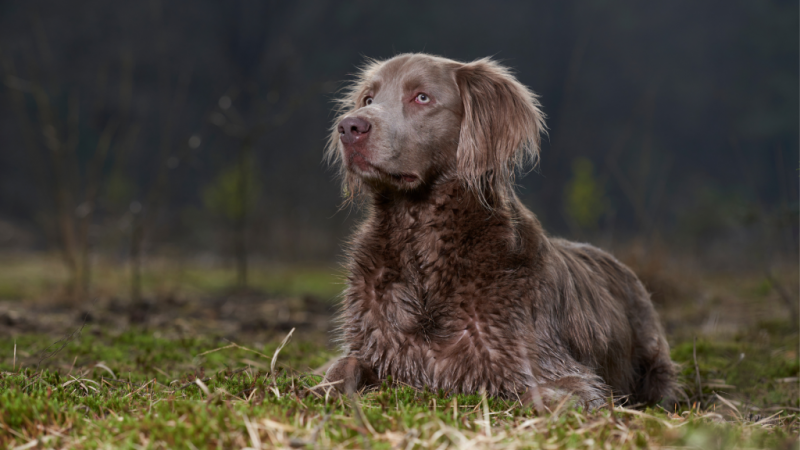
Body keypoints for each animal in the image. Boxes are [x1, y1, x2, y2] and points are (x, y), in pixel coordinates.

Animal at [318, 53, 676, 412]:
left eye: (421, 97)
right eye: (368, 99)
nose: (349, 127)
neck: (423, 247)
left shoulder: (563, 373)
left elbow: (538, 395)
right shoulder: (376, 347)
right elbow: (340, 367)